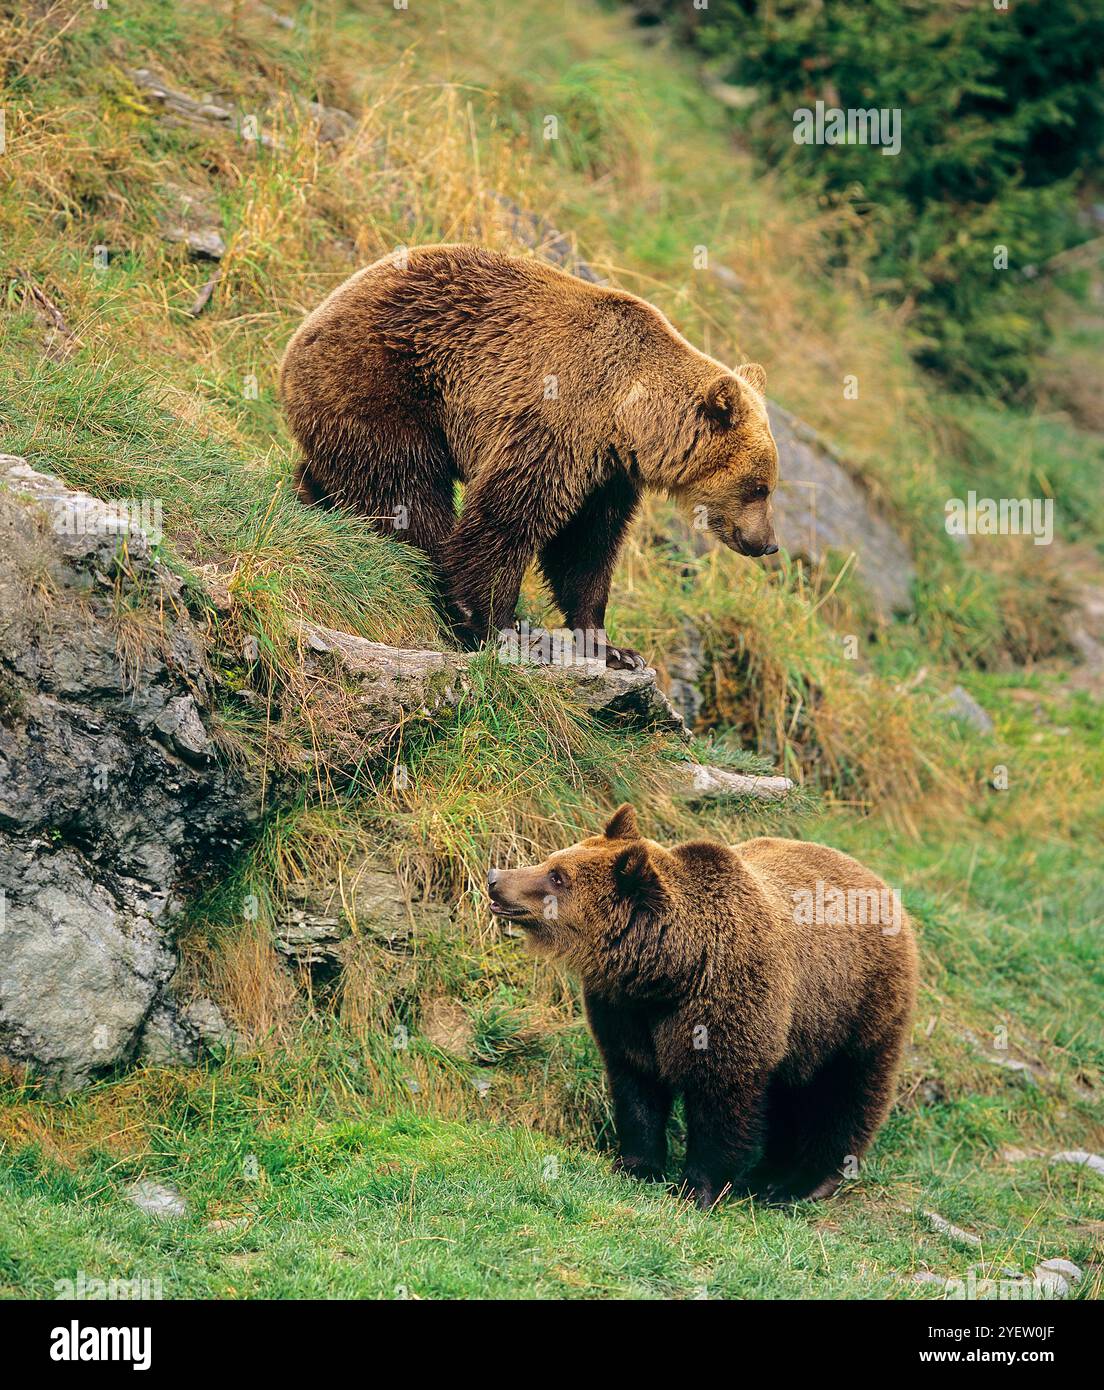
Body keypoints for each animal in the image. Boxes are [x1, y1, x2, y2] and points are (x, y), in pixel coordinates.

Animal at [283, 243, 784, 667]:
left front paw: (613, 647)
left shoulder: (608, 473)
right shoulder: (557, 422)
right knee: (406, 483)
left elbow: (586, 546)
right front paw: (499, 624)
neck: (628, 418)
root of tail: (314, 316)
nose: (767, 543)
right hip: (386, 375)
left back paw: (312, 492)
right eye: (759, 487)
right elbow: (510, 515)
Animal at [486, 806, 917, 1206]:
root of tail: (879, 884)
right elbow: (636, 1087)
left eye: (558, 876)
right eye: (552, 858)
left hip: (856, 1007)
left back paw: (800, 1184)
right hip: (801, 1028)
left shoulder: (727, 1005)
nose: (495, 878)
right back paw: (766, 1174)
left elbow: (721, 1101)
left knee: (844, 1092)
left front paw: (697, 1189)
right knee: (787, 1093)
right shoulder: (626, 1012)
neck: (671, 972)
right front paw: (636, 1166)